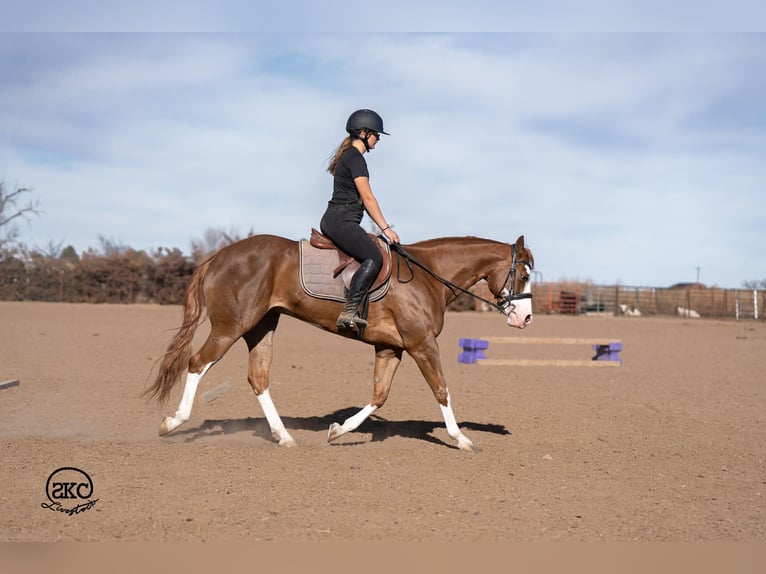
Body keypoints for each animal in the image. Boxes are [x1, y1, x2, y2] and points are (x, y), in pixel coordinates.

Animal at [145, 233, 534, 451]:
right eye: (524, 273)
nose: (525, 319)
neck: (427, 276)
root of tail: (220, 255)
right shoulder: (421, 344)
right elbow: (441, 390)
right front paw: (462, 439)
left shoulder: (391, 348)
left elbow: (379, 395)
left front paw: (338, 430)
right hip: (230, 327)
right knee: (197, 364)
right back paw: (172, 423)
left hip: (261, 326)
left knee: (258, 378)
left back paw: (284, 436)